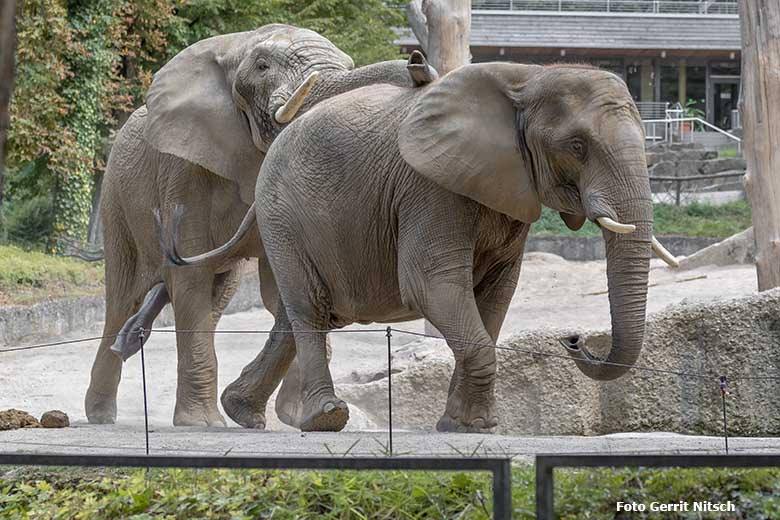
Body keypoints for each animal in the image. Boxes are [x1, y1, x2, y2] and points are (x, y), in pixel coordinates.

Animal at [87, 23, 438, 426]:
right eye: (262, 66)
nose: (417, 62)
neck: (233, 44)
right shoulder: (181, 170)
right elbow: (191, 278)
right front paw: (205, 424)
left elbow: (282, 288)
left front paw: (298, 417)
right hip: (116, 197)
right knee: (124, 297)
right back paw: (100, 414)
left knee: (217, 297)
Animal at [168, 61, 680, 432]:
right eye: (576, 145)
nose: (575, 340)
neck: (529, 76)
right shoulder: (429, 188)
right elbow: (430, 284)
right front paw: (472, 427)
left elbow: (496, 295)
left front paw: (466, 426)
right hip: (284, 215)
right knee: (309, 308)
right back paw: (326, 418)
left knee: (307, 314)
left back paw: (243, 412)